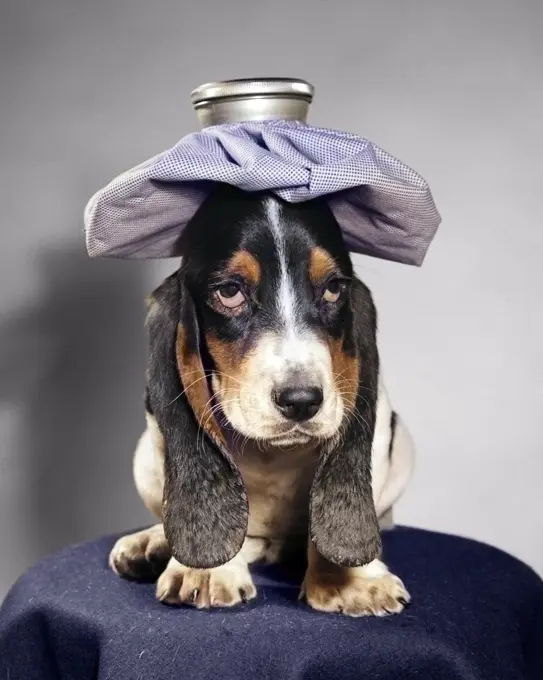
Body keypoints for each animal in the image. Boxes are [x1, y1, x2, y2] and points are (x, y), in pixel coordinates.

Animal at [110, 183, 416, 620]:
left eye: (334, 289)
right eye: (229, 291)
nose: (302, 401)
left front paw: (352, 580)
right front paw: (208, 570)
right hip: (144, 459)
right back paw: (153, 541)